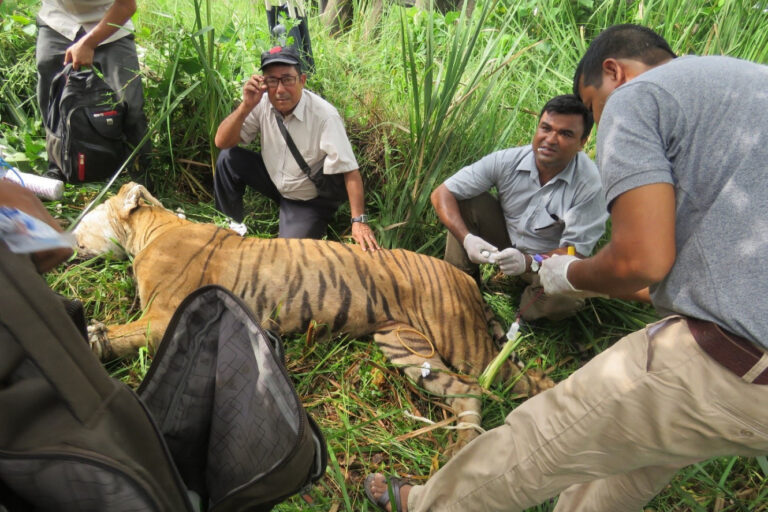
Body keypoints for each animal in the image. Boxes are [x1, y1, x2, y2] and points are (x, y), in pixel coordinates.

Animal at [73, 182, 552, 454]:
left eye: (87, 216)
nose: (68, 230)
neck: (150, 231)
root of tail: (467, 277)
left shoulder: (164, 317)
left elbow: (120, 335)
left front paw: (91, 341)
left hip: (462, 341)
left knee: (516, 382)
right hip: (408, 349)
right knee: (468, 394)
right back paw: (458, 452)